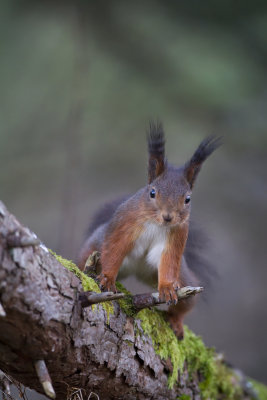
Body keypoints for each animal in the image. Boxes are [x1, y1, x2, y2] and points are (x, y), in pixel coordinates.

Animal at [78, 122, 222, 340]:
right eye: (152, 192)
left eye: (187, 199)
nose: (168, 216)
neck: (157, 224)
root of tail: (137, 271)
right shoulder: (124, 225)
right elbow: (114, 250)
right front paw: (108, 278)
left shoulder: (178, 236)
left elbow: (169, 260)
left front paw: (168, 288)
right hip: (93, 246)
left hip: (184, 279)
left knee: (184, 304)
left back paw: (176, 321)